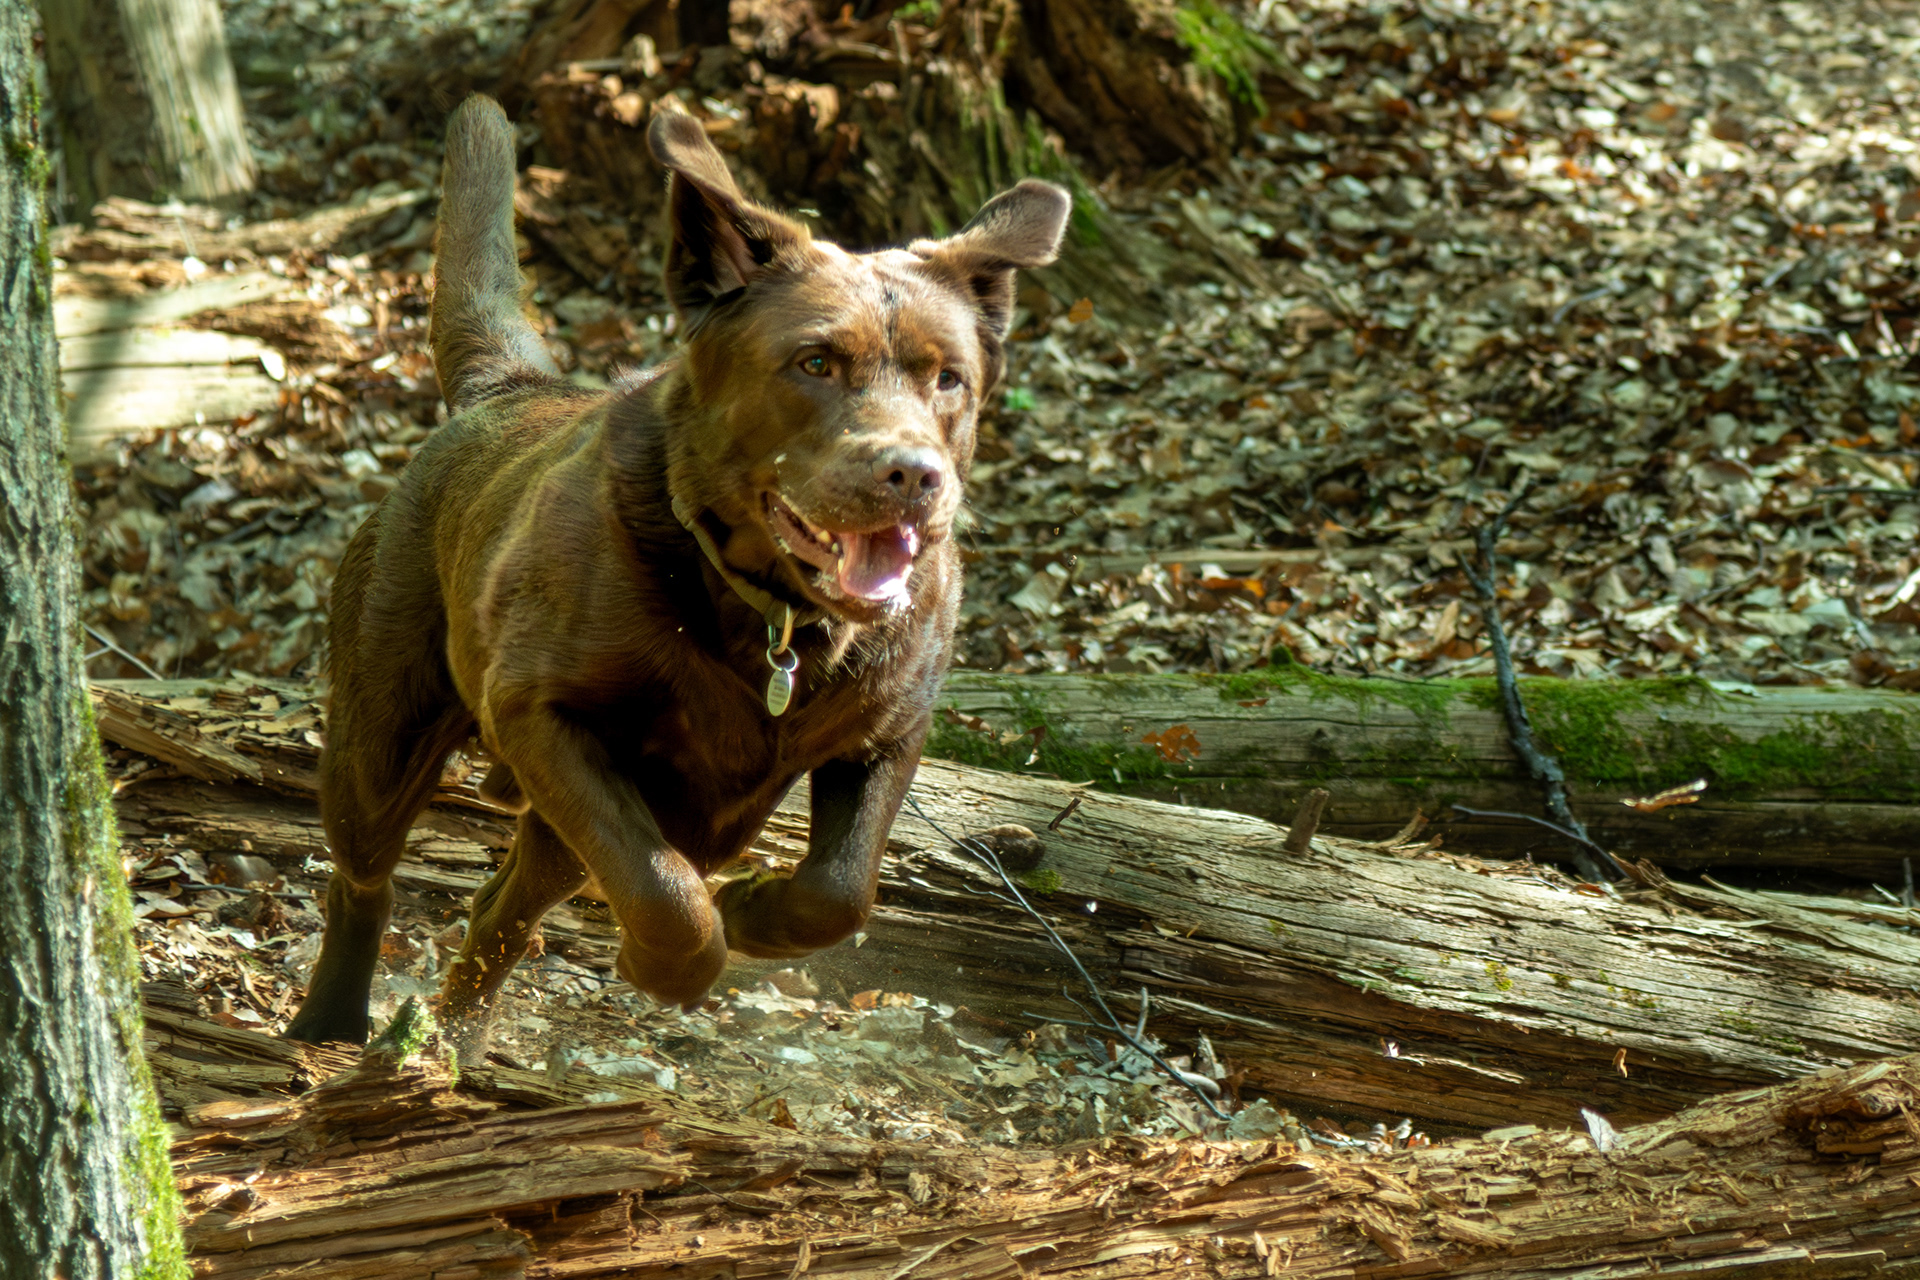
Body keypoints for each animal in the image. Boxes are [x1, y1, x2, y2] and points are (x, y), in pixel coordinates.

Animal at [282, 95, 1068, 1059]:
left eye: (948, 378)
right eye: (814, 363)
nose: (915, 475)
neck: (770, 616)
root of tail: (506, 389)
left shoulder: (888, 729)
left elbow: (840, 889)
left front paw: (756, 909)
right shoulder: (541, 716)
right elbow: (665, 891)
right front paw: (672, 967)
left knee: (502, 908)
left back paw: (452, 1040)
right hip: (386, 729)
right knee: (365, 874)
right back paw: (335, 1022)